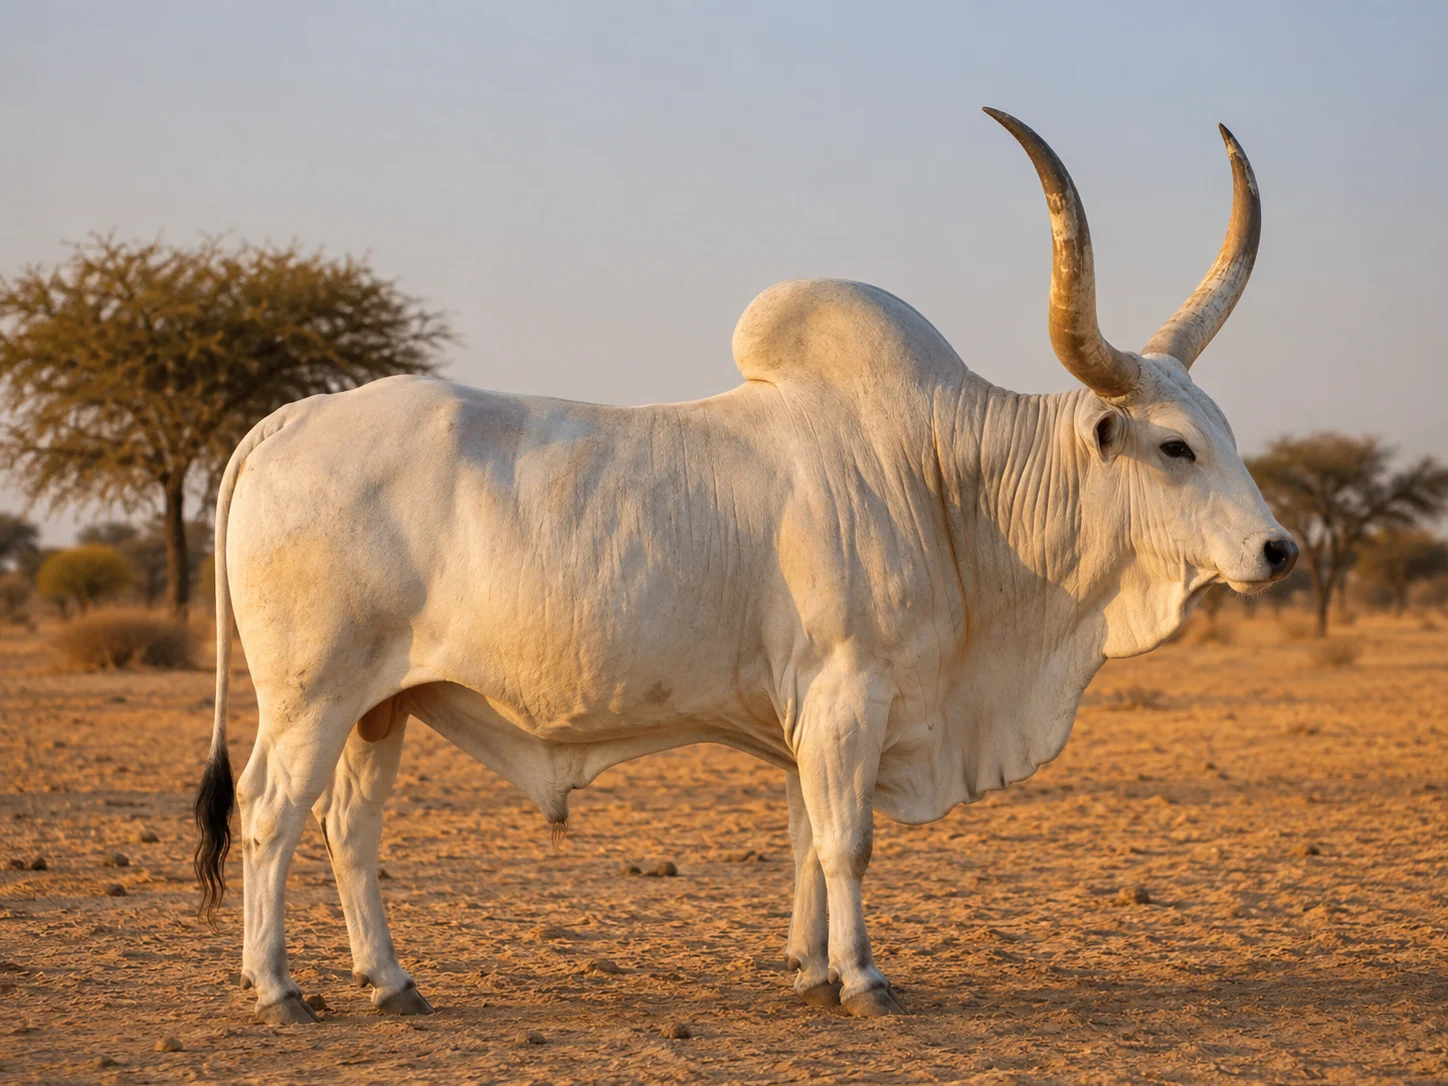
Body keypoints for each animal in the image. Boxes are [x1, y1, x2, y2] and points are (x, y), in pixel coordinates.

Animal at [194, 108, 1297, 1024]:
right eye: (1173, 447)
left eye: (1223, 435)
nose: (1277, 549)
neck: (941, 479)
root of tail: (288, 420)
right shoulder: (850, 692)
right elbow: (847, 840)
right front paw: (863, 979)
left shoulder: (809, 711)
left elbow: (807, 836)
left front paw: (809, 971)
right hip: (311, 696)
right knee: (271, 814)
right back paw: (277, 990)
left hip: (381, 705)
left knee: (349, 829)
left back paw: (389, 982)